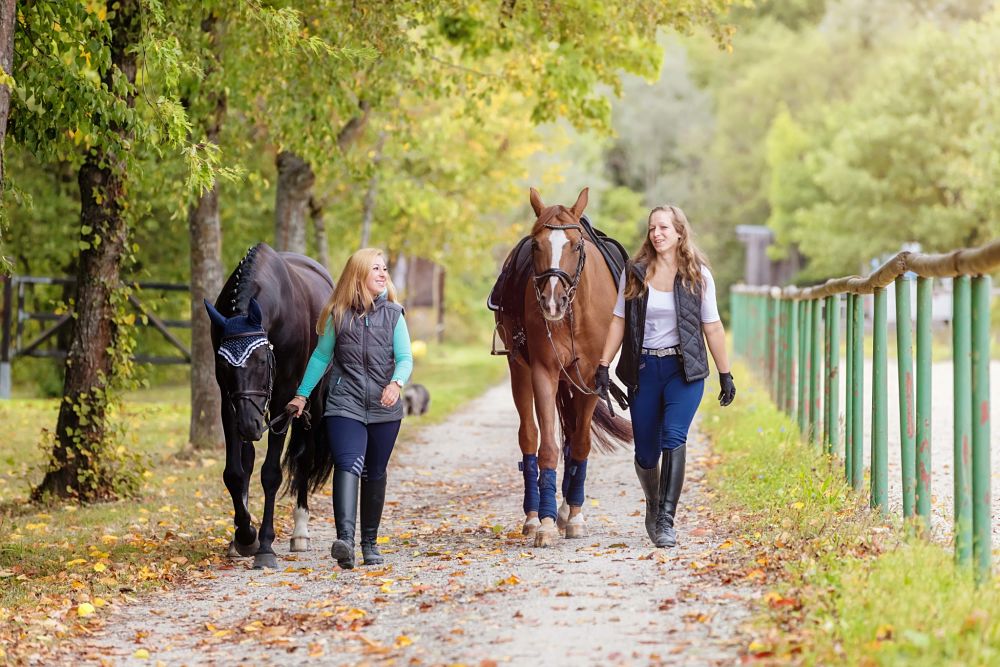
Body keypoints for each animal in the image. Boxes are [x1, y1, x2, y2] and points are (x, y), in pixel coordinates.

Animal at [205, 244, 334, 568]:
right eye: (223, 366)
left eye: (263, 361)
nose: (248, 425)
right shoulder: (229, 402)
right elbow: (235, 471)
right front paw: (243, 536)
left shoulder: (283, 399)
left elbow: (271, 473)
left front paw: (264, 545)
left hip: (311, 401)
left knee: (303, 457)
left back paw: (300, 532)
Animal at [496, 187, 628, 548]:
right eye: (536, 245)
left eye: (576, 246)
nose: (552, 302)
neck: (573, 313)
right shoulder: (544, 371)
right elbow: (547, 448)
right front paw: (544, 523)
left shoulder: (590, 378)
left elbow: (579, 444)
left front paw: (576, 516)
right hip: (519, 368)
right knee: (529, 436)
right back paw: (532, 516)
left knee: (571, 434)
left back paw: (567, 508)